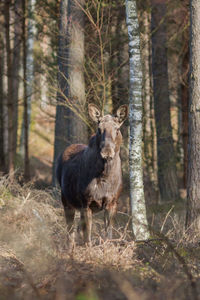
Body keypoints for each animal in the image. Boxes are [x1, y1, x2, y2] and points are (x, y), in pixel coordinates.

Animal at [56, 103, 128, 244]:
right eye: (99, 129)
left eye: (117, 129)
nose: (107, 152)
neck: (105, 175)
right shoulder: (86, 203)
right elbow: (87, 239)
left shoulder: (112, 203)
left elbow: (108, 236)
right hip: (66, 201)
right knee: (70, 232)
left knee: (76, 229)